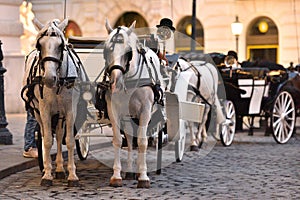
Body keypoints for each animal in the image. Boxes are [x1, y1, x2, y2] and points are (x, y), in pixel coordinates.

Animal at [21, 18, 85, 186]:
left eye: (61, 46)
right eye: (39, 45)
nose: (49, 79)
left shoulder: (70, 110)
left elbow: (69, 140)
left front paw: (72, 175)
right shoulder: (44, 110)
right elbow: (48, 141)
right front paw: (47, 175)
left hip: (60, 113)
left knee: (60, 133)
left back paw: (61, 169)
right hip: (38, 112)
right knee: (45, 135)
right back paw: (49, 168)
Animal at [102, 19, 164, 188]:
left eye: (128, 51)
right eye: (106, 50)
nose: (115, 82)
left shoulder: (145, 110)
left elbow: (142, 142)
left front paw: (143, 176)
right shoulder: (114, 110)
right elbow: (118, 140)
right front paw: (116, 175)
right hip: (128, 116)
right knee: (130, 139)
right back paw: (130, 171)